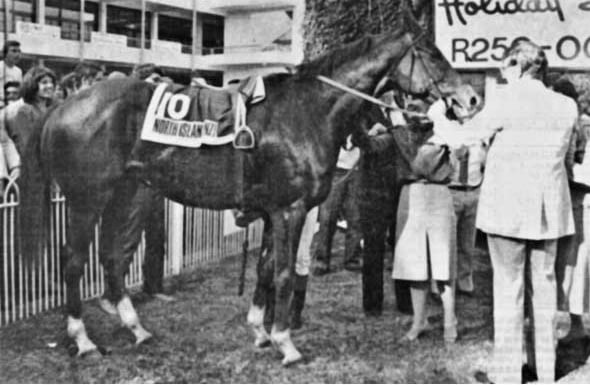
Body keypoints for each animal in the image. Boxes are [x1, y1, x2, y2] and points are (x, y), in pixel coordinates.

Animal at [18, 9, 480, 364]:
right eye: (432, 52)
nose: (472, 99)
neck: (305, 112)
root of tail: (65, 104)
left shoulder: (272, 212)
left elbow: (264, 270)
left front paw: (261, 331)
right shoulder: (292, 209)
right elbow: (283, 274)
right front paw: (286, 343)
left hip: (125, 194)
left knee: (112, 257)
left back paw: (137, 329)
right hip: (85, 200)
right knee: (73, 262)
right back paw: (83, 340)